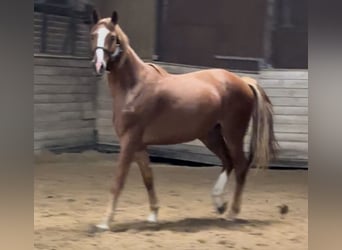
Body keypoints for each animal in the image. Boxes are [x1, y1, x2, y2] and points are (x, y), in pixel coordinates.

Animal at [89, 10, 276, 230]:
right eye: (93, 35)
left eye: (111, 37)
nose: (98, 65)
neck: (134, 86)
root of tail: (243, 82)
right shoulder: (139, 145)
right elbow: (148, 178)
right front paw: (153, 215)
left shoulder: (129, 141)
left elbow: (118, 181)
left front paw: (104, 222)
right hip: (210, 134)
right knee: (228, 162)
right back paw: (219, 204)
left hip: (233, 133)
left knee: (240, 166)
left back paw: (232, 213)